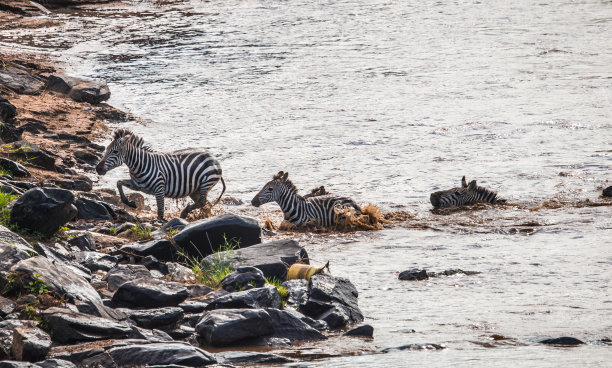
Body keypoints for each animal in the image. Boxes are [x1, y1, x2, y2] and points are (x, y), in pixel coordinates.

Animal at [97, 129, 226, 221]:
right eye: (106, 149)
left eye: (115, 151)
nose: (98, 168)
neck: (140, 165)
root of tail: (213, 157)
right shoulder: (137, 185)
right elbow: (119, 183)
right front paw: (130, 203)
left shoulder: (159, 188)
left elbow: (160, 210)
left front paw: (161, 221)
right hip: (194, 190)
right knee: (206, 204)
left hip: (206, 182)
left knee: (202, 202)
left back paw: (184, 213)